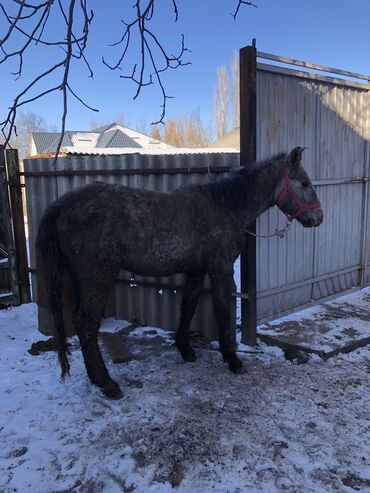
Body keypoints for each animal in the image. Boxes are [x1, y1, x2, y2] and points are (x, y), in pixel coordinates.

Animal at [36, 145, 322, 396]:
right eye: (305, 183)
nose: (318, 219)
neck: (226, 206)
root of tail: (59, 206)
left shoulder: (196, 271)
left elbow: (188, 306)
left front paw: (185, 349)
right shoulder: (220, 268)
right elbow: (222, 309)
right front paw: (232, 359)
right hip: (97, 277)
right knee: (86, 323)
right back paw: (107, 383)